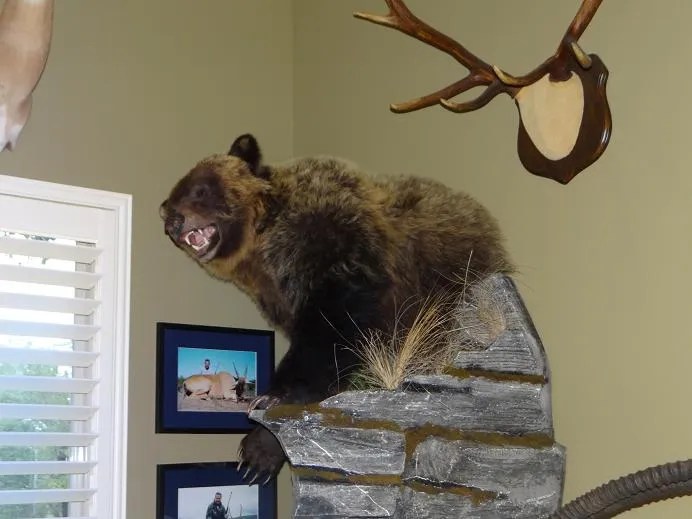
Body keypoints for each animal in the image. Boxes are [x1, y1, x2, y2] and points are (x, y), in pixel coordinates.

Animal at [160, 134, 512, 483]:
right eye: (173, 196)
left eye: (200, 189)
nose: (171, 219)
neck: (264, 252)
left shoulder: (334, 246)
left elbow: (330, 330)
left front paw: (269, 415)